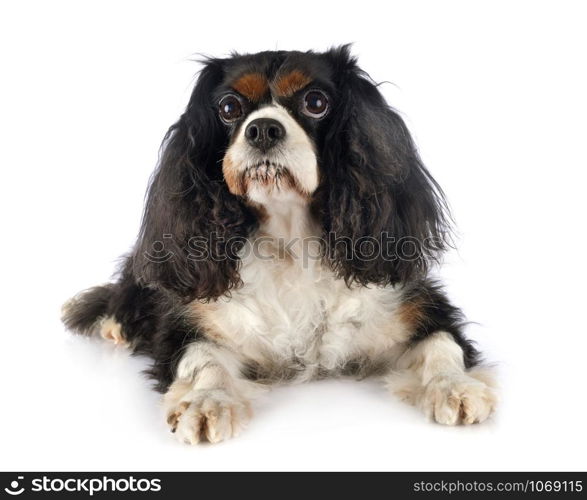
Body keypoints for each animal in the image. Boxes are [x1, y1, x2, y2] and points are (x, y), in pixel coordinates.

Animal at [63, 47, 496, 444]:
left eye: (315, 102)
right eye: (229, 107)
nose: (263, 129)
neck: (291, 243)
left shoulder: (415, 306)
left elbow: (442, 343)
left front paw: (455, 386)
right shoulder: (189, 322)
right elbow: (202, 359)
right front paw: (207, 401)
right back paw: (116, 324)